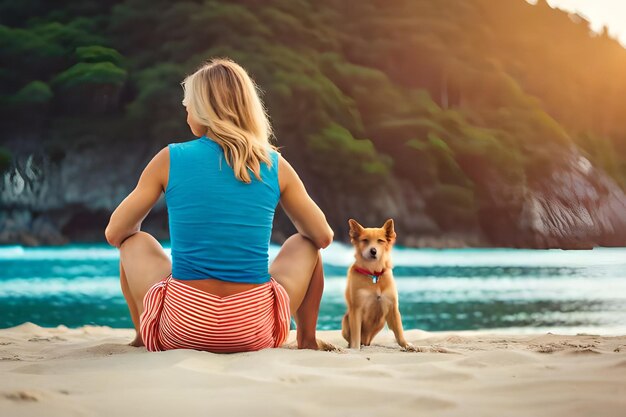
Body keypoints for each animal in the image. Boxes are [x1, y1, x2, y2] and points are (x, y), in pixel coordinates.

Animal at [338, 219, 412, 350]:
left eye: (380, 241)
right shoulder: (356, 309)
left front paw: (405, 344)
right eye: (365, 240)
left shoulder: (393, 307)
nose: (373, 251)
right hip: (346, 319)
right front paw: (355, 349)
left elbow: (399, 330)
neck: (373, 274)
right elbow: (356, 335)